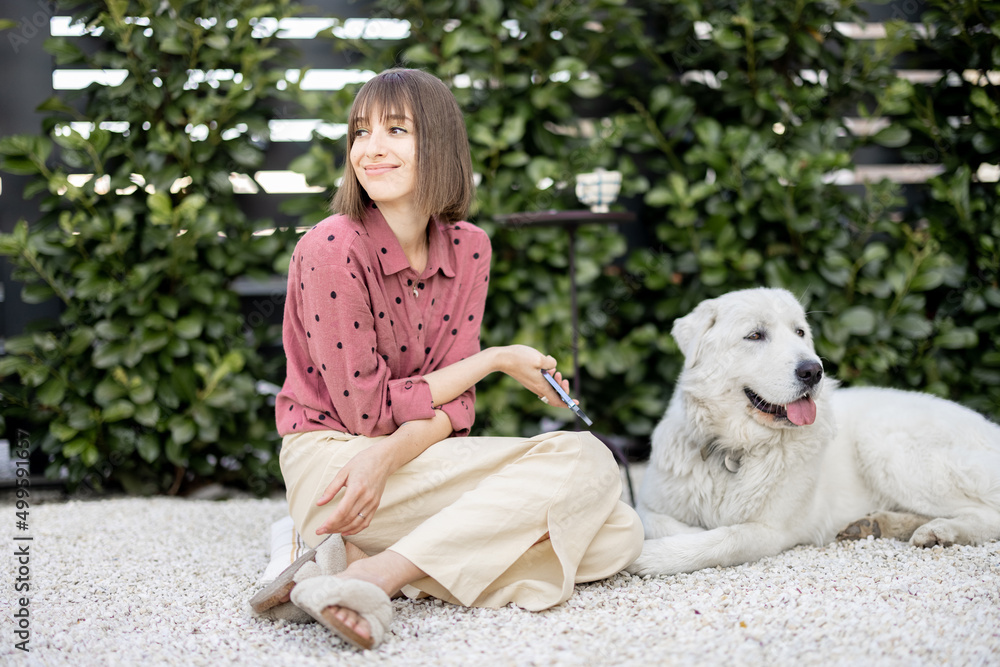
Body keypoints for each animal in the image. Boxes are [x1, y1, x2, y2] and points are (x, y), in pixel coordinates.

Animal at [628, 290, 1000, 576]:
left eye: (799, 333)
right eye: (755, 335)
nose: (813, 371)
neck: (736, 450)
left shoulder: (769, 531)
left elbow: (722, 539)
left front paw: (648, 556)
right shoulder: (649, 504)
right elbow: (655, 522)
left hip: (887, 448)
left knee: (987, 514)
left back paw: (941, 531)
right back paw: (878, 524)